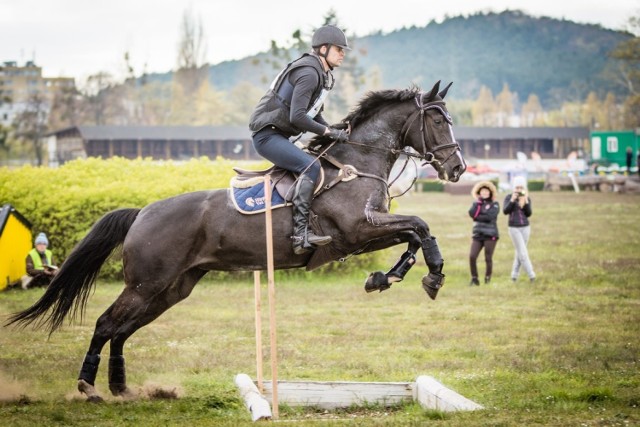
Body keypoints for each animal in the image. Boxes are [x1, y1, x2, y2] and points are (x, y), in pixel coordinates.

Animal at [5, 80, 464, 402]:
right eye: (438, 121)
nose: (457, 168)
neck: (357, 162)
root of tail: (142, 212)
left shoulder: (364, 235)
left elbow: (416, 232)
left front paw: (394, 277)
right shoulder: (356, 231)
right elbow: (420, 225)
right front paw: (429, 277)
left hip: (171, 289)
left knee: (122, 330)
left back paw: (122, 388)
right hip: (146, 284)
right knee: (106, 324)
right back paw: (88, 387)